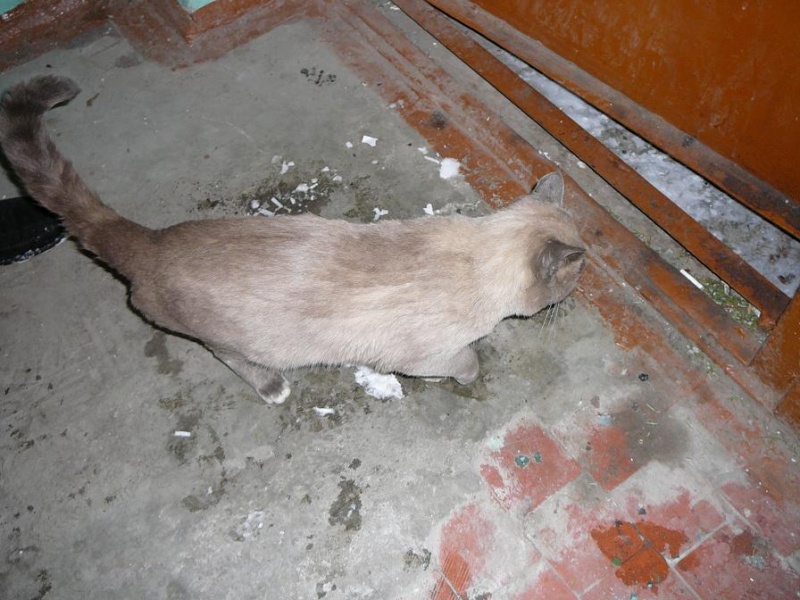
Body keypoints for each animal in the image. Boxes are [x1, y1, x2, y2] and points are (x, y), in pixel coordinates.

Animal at [0, 75, 586, 404]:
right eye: (578, 274)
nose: (577, 299)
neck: (478, 256)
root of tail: (153, 240)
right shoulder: (423, 356)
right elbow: (467, 363)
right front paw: (469, 376)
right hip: (234, 339)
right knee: (226, 355)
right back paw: (272, 388)